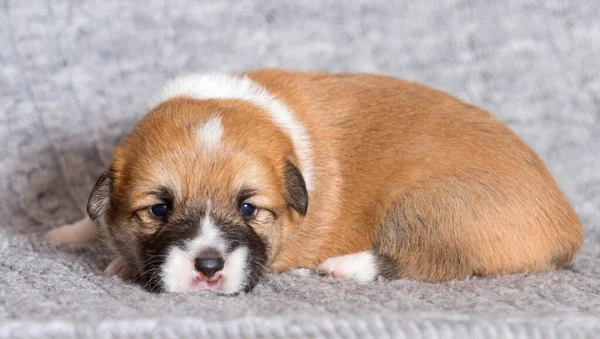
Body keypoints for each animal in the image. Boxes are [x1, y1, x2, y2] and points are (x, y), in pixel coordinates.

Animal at [45, 68, 580, 294]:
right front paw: (69, 232)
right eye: (159, 209)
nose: (209, 267)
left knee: (436, 262)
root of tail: (569, 227)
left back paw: (345, 267)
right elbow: (94, 215)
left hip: (431, 203)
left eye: (248, 208)